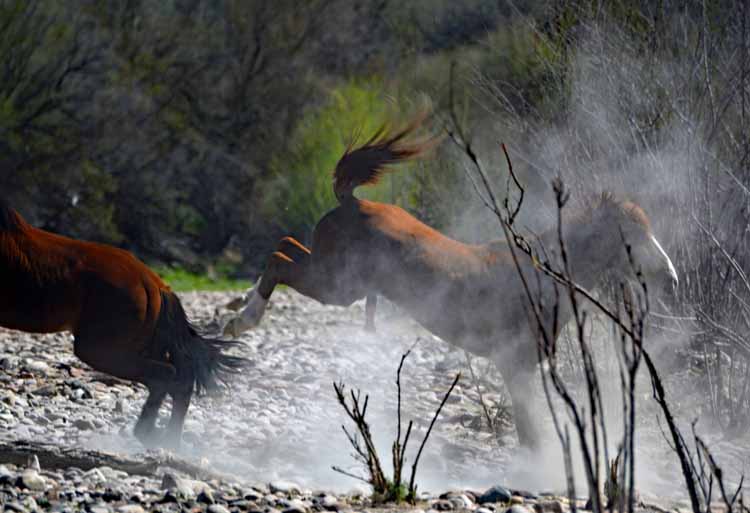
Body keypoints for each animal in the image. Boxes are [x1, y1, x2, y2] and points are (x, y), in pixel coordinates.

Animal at [0, 198, 247, 446]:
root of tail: (155, 284)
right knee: (179, 381)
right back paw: (167, 440)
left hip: (99, 349)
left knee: (167, 376)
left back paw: (149, 434)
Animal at [223, 120, 680, 448]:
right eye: (632, 236)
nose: (670, 277)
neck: (538, 276)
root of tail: (352, 202)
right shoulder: (514, 364)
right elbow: (531, 433)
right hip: (337, 285)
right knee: (280, 261)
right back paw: (243, 319)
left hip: (331, 276)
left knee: (284, 247)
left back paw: (237, 307)